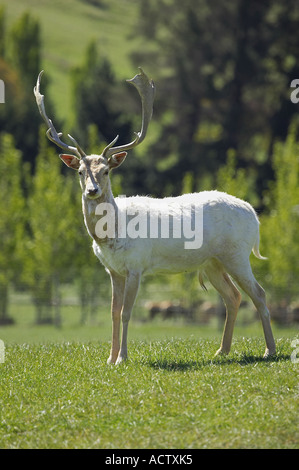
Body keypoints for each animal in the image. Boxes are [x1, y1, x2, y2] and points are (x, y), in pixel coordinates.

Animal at [34, 69, 276, 364]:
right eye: (80, 171)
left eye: (106, 171)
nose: (92, 190)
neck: (112, 234)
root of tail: (255, 215)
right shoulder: (112, 270)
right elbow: (113, 313)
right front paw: (109, 358)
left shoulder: (136, 265)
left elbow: (127, 312)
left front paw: (123, 357)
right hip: (212, 261)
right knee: (233, 296)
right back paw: (222, 351)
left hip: (237, 253)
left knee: (259, 294)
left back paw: (269, 350)